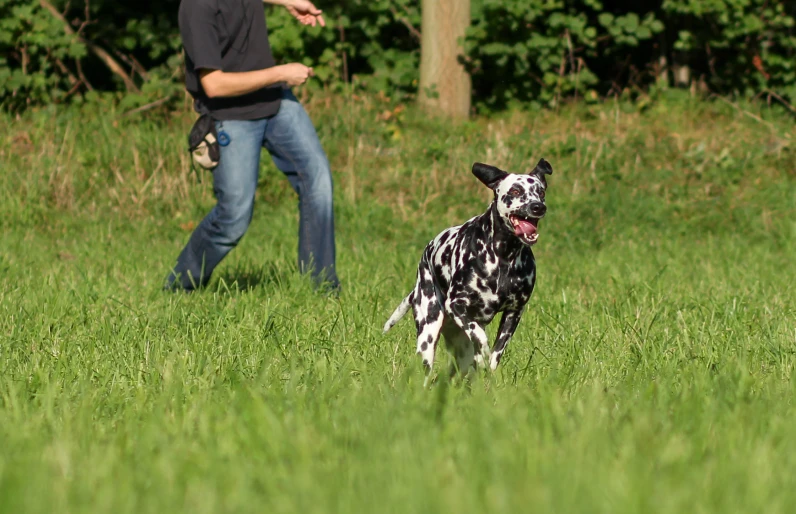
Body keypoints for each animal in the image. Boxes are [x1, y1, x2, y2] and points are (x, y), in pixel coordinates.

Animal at [382, 158, 552, 382]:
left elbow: (496, 353)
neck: (503, 257)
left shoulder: (514, 312)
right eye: (515, 190)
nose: (538, 206)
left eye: (540, 191)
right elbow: (480, 337)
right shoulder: (456, 306)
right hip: (428, 332)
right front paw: (483, 352)